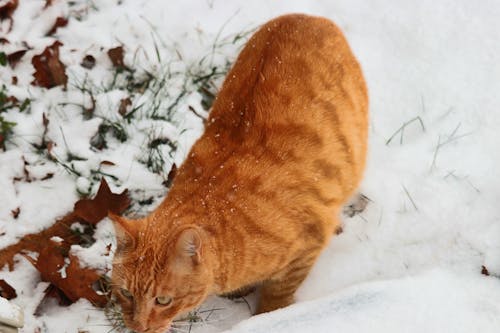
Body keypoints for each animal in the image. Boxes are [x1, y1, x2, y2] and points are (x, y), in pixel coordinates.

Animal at [109, 13, 368, 332]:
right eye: (126, 293)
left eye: (163, 300)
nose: (138, 328)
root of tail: (307, 16)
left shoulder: (308, 244)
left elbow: (278, 293)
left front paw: (270, 318)